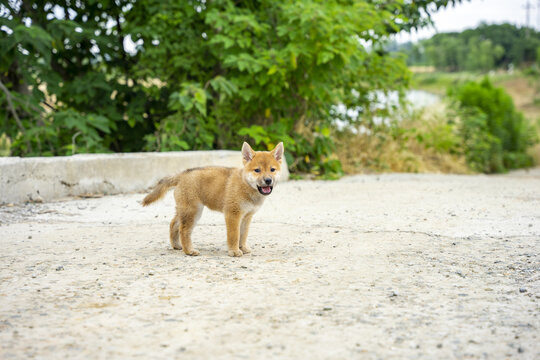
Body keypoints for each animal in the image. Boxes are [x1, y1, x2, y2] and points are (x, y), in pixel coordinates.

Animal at [143, 142, 284, 258]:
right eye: (257, 170)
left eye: (272, 169)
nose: (268, 180)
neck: (246, 186)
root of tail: (182, 174)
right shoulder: (233, 214)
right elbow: (234, 235)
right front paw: (234, 251)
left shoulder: (247, 217)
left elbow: (243, 235)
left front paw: (243, 248)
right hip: (193, 212)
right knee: (184, 230)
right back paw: (189, 251)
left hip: (185, 210)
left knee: (173, 224)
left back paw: (177, 245)